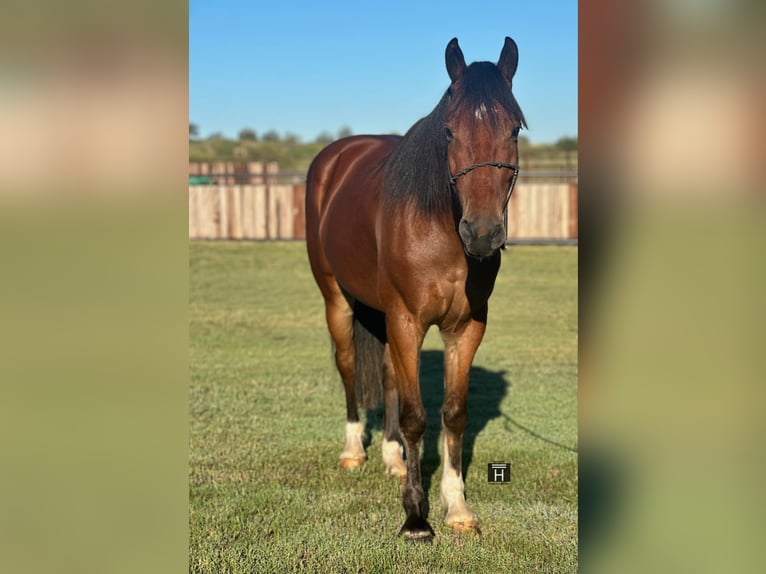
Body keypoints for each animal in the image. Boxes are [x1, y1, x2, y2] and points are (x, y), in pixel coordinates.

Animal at [306, 38, 528, 544]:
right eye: (448, 131)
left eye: (514, 130)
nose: (482, 233)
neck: (441, 231)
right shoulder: (407, 320)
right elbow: (415, 417)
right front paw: (415, 518)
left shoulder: (465, 328)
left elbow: (453, 414)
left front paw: (457, 507)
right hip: (337, 300)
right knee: (349, 366)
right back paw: (355, 451)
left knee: (389, 375)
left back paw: (391, 457)